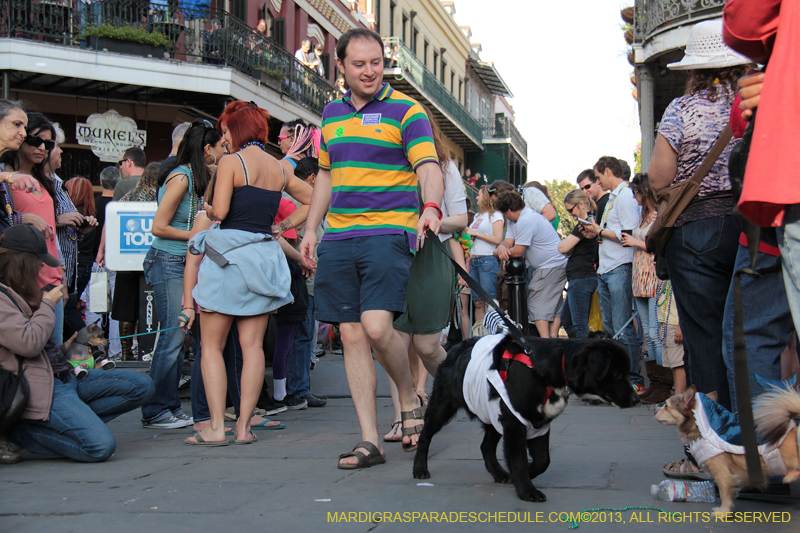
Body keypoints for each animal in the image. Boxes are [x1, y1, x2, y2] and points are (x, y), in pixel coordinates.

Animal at [416, 332, 640, 502]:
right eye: (617, 374)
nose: (636, 399)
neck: (548, 372)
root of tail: (454, 349)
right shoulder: (516, 421)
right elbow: (519, 459)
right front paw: (526, 490)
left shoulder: (538, 423)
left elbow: (543, 460)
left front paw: (523, 475)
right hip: (442, 407)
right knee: (425, 435)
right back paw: (420, 468)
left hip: (494, 415)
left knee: (486, 446)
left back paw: (499, 473)